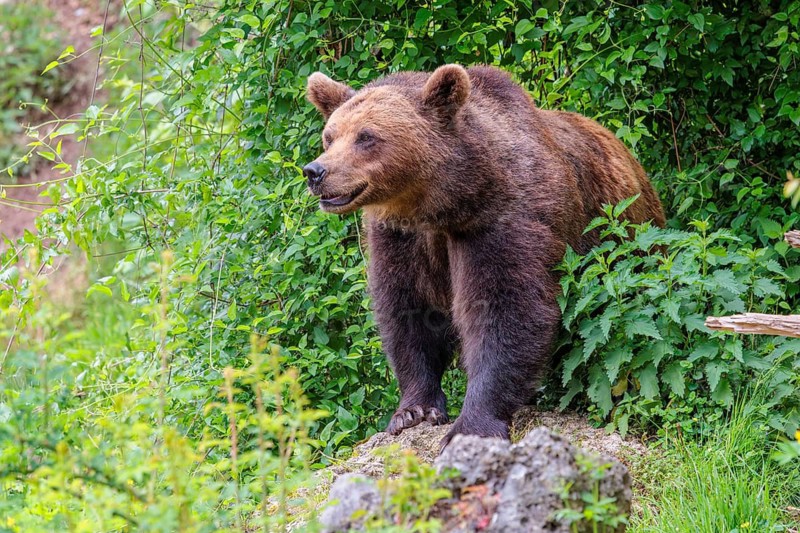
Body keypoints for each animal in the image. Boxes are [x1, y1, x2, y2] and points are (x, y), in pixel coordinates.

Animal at [304, 64, 665, 446]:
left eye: (366, 136)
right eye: (330, 136)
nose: (315, 171)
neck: (442, 204)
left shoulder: (501, 219)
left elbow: (506, 310)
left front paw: (472, 424)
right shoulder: (401, 238)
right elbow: (408, 311)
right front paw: (413, 411)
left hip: (626, 237)